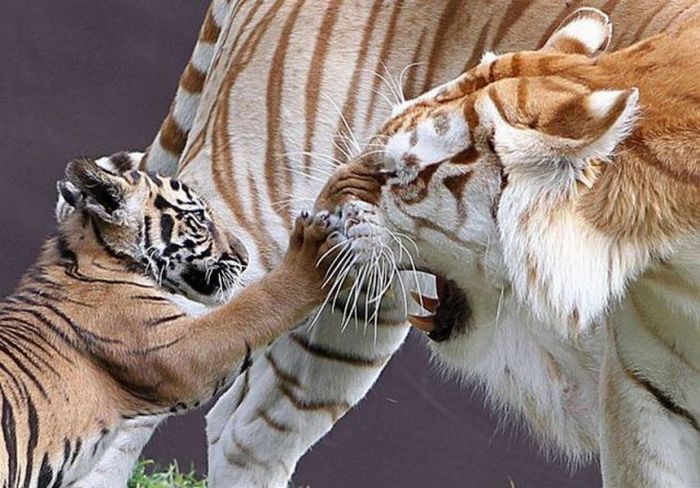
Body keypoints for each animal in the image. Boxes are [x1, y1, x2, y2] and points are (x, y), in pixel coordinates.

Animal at [0, 155, 343, 487]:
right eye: (200, 219)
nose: (244, 258)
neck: (95, 250)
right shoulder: (179, 349)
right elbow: (254, 306)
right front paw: (311, 253)